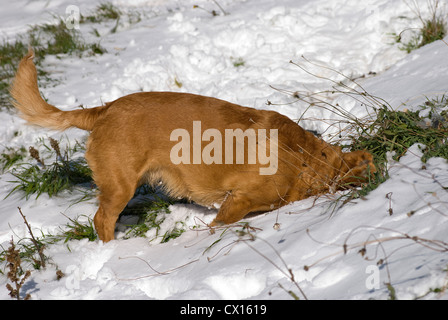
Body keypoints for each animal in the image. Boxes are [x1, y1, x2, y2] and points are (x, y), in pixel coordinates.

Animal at [10, 50, 374, 241]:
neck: (305, 159)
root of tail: (103, 110)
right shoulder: (239, 200)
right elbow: (222, 221)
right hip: (120, 186)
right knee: (102, 220)